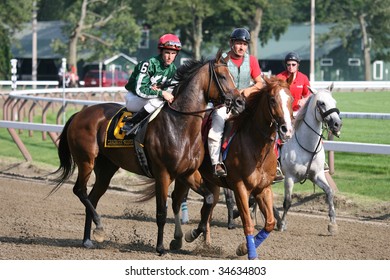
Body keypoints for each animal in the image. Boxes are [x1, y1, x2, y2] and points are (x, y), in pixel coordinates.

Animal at [50, 49, 241, 255]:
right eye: (222, 76)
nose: (240, 101)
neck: (180, 125)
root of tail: (79, 114)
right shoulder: (163, 174)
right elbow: (161, 211)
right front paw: (160, 247)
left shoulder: (187, 173)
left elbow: (209, 198)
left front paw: (191, 234)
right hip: (86, 160)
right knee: (80, 191)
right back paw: (99, 226)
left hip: (106, 167)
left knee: (92, 198)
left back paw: (88, 239)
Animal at [183, 76, 292, 258]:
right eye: (272, 99)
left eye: (290, 99)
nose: (287, 130)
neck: (256, 148)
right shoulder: (240, 187)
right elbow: (248, 222)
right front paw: (250, 253)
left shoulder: (263, 188)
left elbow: (269, 222)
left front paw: (244, 248)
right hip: (192, 178)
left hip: (212, 185)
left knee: (207, 210)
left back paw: (203, 240)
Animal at [272, 84, 342, 235]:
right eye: (321, 103)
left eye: (334, 102)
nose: (337, 124)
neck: (306, 146)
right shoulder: (289, 178)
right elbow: (287, 202)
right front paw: (283, 224)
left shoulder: (317, 175)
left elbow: (329, 192)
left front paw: (332, 224)